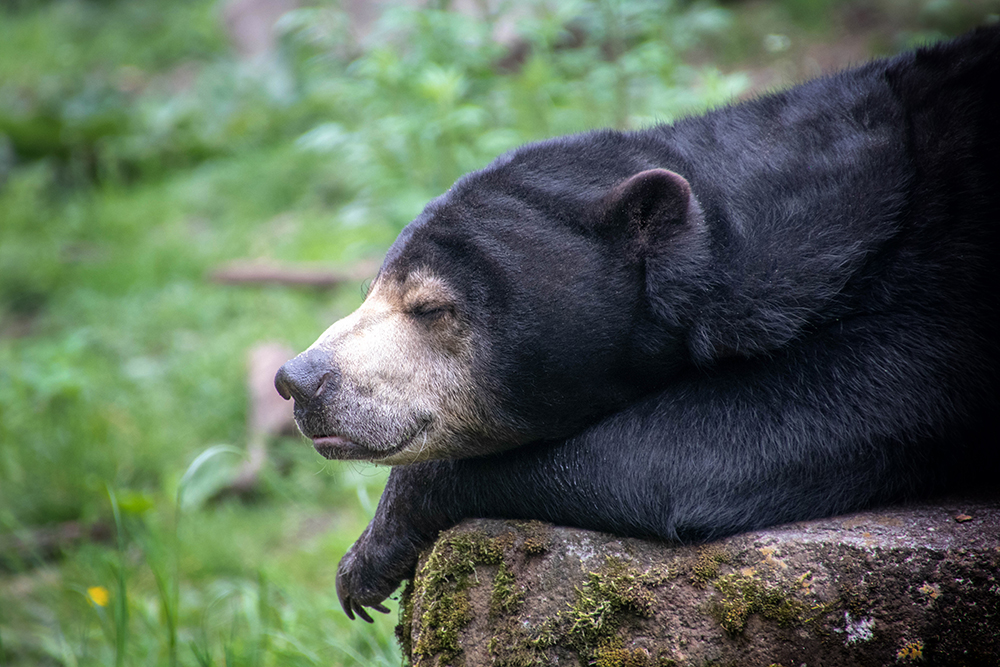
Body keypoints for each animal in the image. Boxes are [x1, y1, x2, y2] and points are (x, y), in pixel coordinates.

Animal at [272, 26, 1000, 620]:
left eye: (429, 307)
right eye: (373, 288)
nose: (299, 381)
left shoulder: (931, 299)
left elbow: (710, 453)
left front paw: (375, 548)